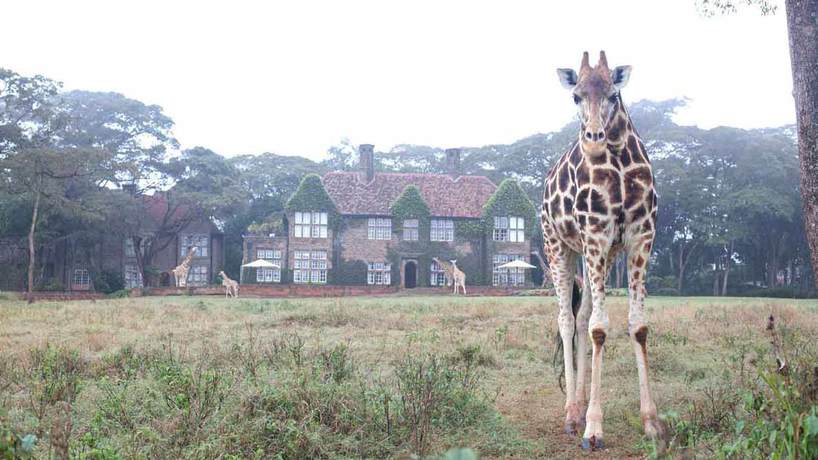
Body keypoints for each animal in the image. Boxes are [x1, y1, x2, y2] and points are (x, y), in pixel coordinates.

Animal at [542, 51, 662, 450]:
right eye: (576, 96)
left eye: (613, 95)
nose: (593, 139)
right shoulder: (595, 233)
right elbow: (599, 328)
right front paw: (594, 428)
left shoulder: (641, 237)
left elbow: (637, 326)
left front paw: (651, 422)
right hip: (558, 246)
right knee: (566, 320)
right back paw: (570, 414)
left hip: (601, 256)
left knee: (580, 317)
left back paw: (578, 407)